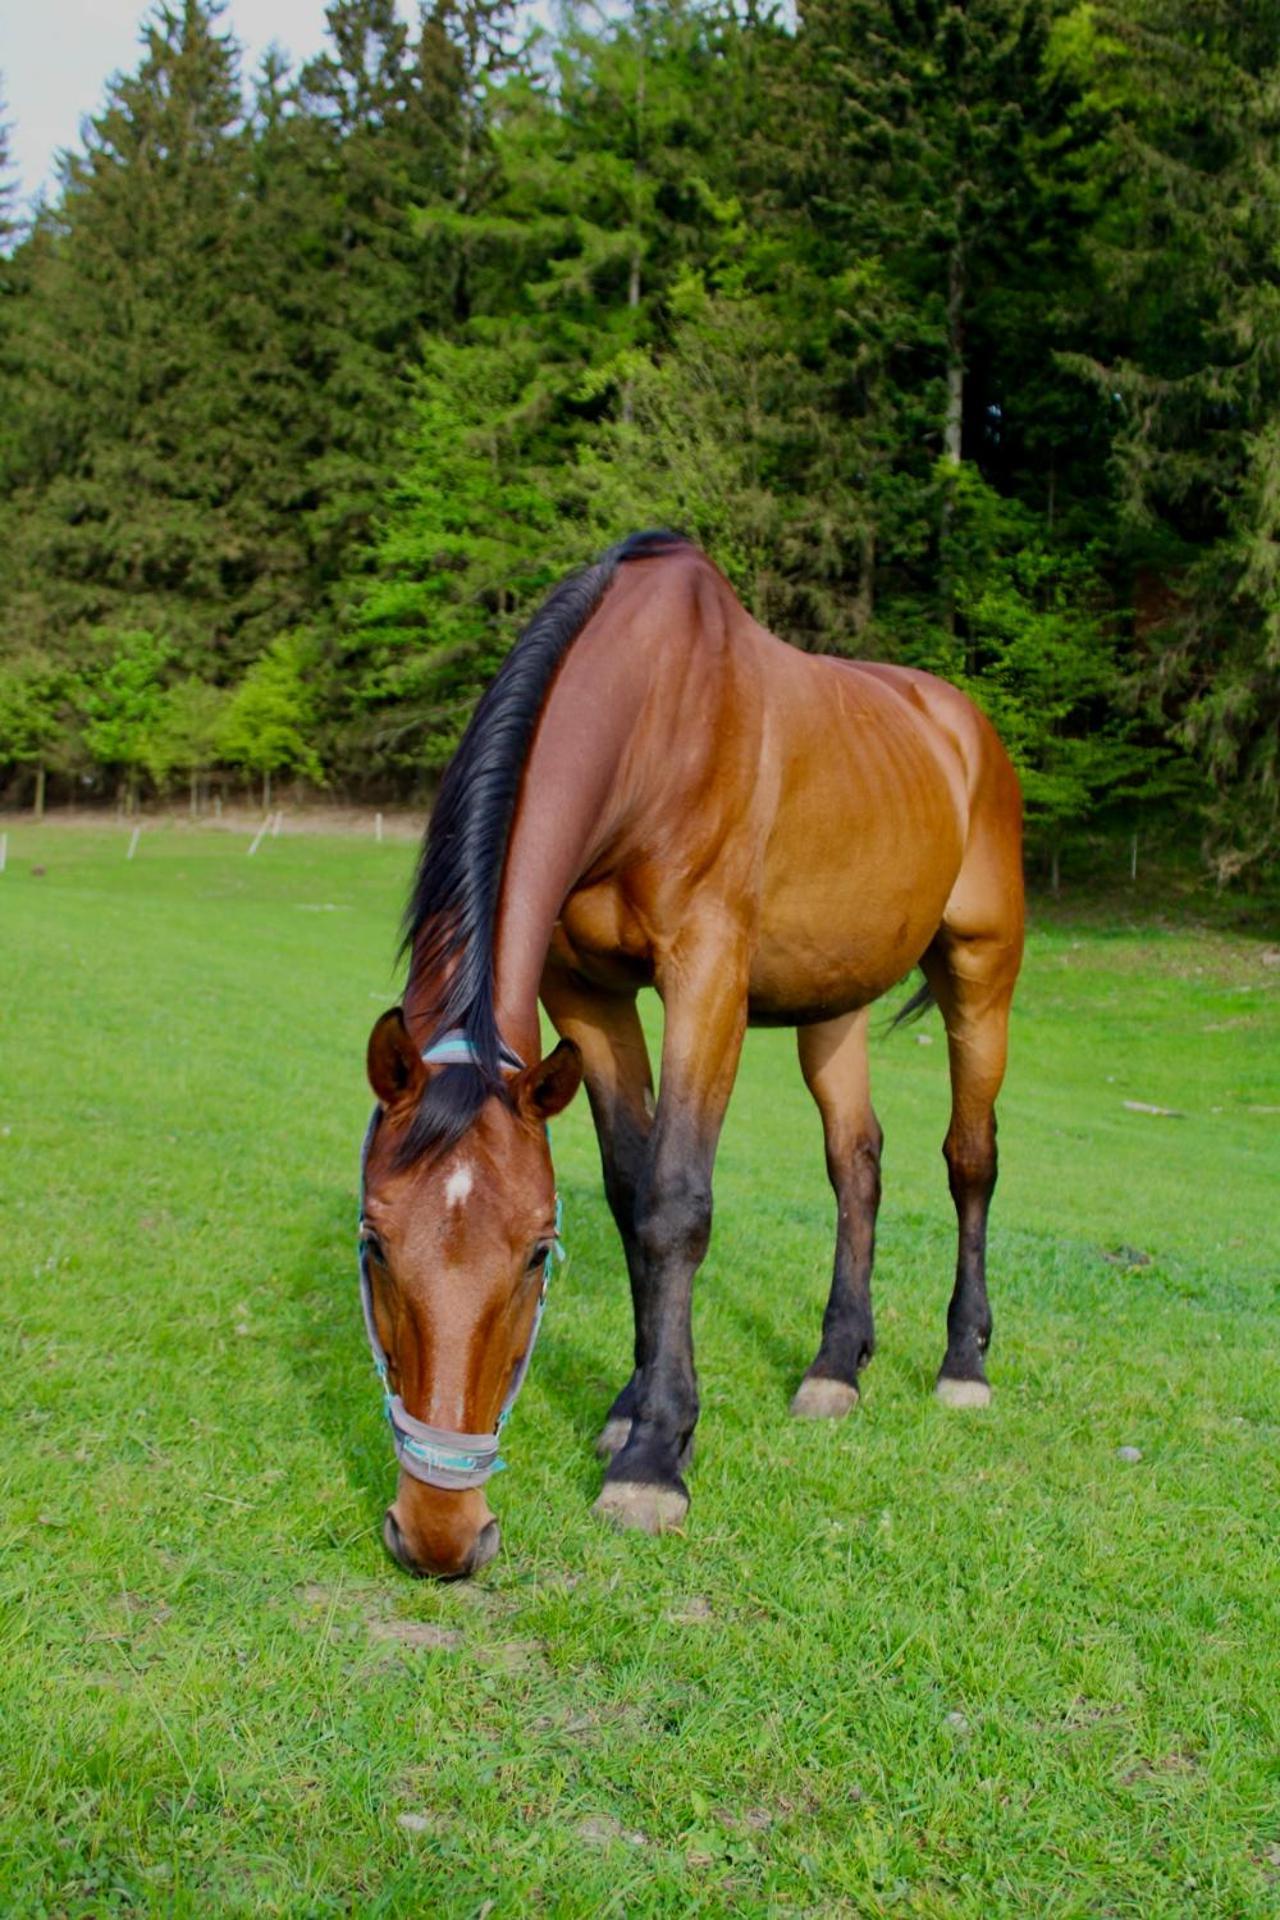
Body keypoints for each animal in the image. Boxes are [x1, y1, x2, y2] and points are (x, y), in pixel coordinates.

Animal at [355, 529, 1028, 1574]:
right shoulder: (584, 994)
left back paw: (963, 1364)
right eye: (375, 1244)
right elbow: (632, 1193)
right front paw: (630, 1409)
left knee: (970, 1160)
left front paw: (654, 1459)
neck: (650, 717)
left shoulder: (705, 974)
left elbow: (674, 1203)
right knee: (857, 1161)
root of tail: (965, 728)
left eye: (536, 1254)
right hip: (834, 1000)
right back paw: (835, 1365)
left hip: (981, 975)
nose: (438, 1533)